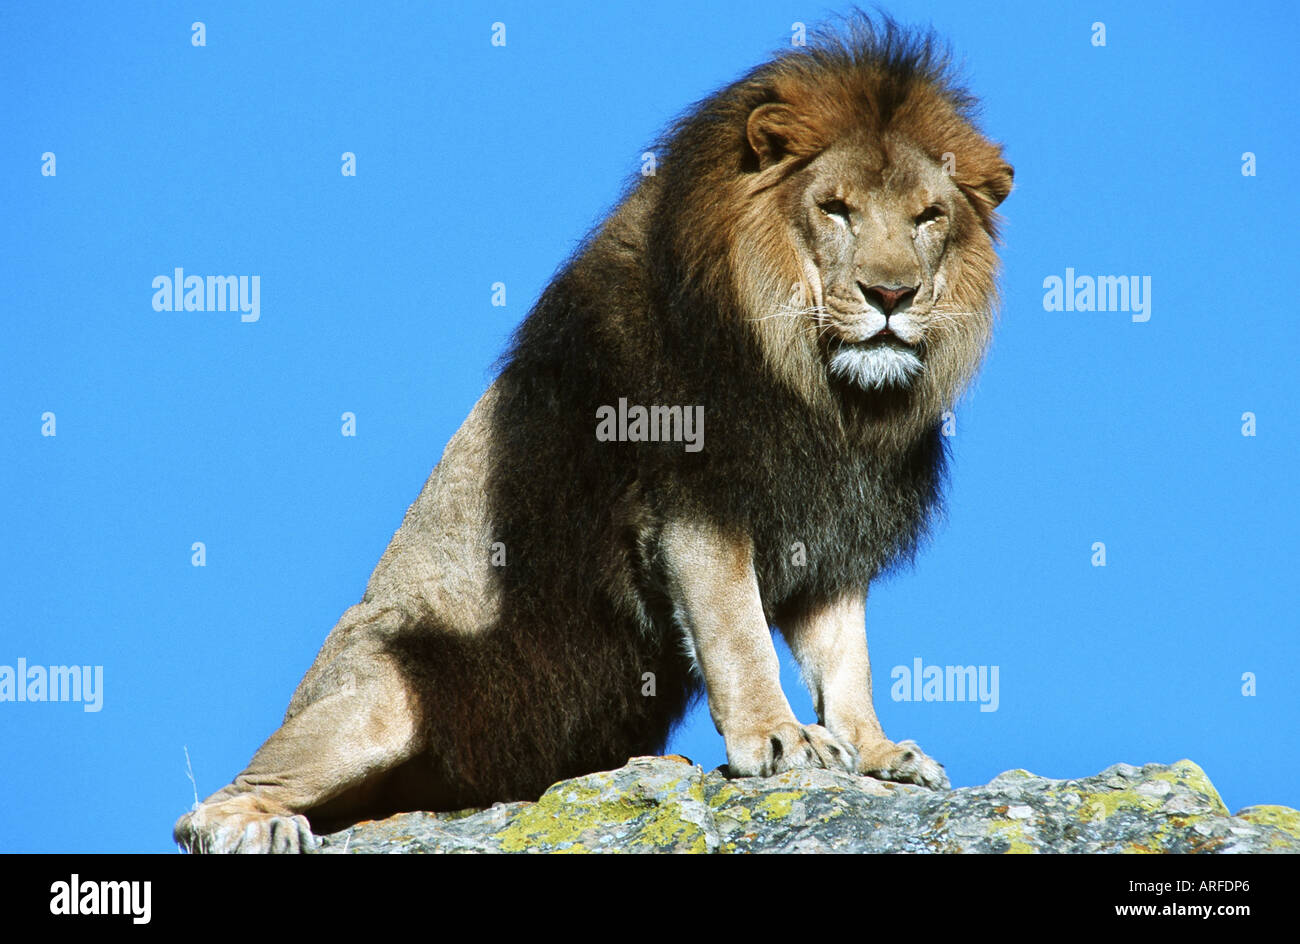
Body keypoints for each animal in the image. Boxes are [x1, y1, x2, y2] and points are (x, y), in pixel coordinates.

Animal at [175, 14, 1012, 853]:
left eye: (929, 217)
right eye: (836, 209)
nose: (890, 295)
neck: (824, 393)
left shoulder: (832, 531)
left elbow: (847, 659)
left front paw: (877, 754)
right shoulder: (693, 503)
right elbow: (738, 633)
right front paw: (779, 741)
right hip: (386, 691)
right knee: (206, 805)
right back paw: (257, 827)